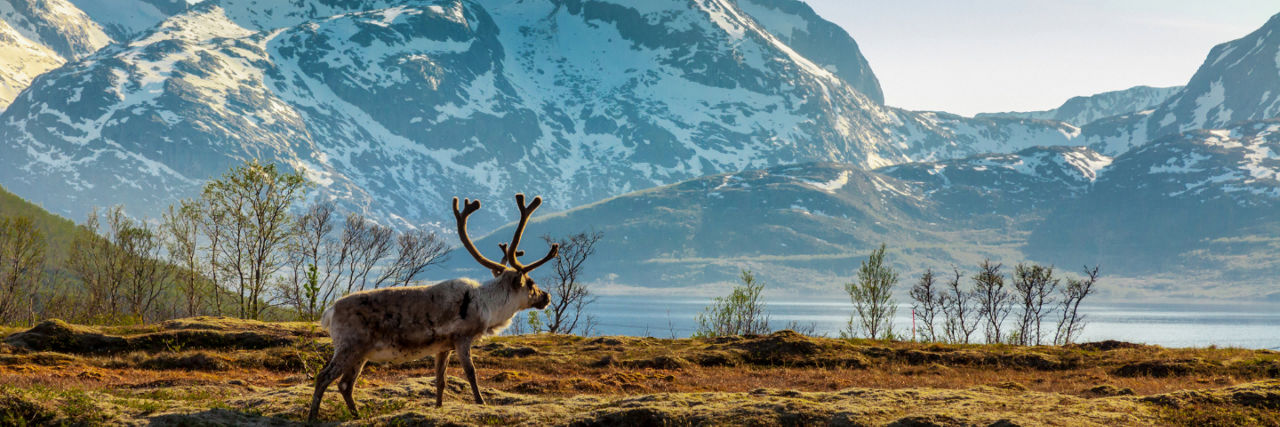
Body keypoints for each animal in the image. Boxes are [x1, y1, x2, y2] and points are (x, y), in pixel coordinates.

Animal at [307, 194, 558, 422]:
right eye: (531, 283)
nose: (547, 296)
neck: (487, 305)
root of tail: (329, 312)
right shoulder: (462, 338)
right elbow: (471, 373)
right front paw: (481, 403)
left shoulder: (443, 346)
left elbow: (440, 380)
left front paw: (438, 407)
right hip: (349, 346)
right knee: (324, 377)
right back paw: (313, 417)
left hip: (361, 353)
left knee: (345, 385)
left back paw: (357, 415)